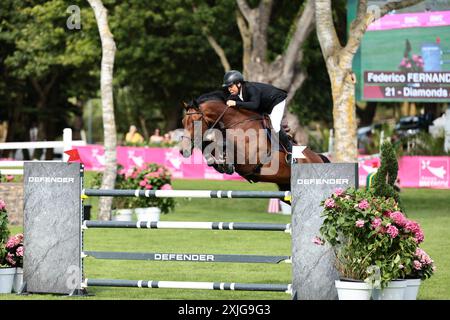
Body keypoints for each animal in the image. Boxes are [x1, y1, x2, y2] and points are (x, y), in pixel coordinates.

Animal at [180, 92, 330, 192]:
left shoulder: (249, 160)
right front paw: (222, 163)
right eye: (183, 121)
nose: (183, 150)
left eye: (195, 121)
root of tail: (318, 158)